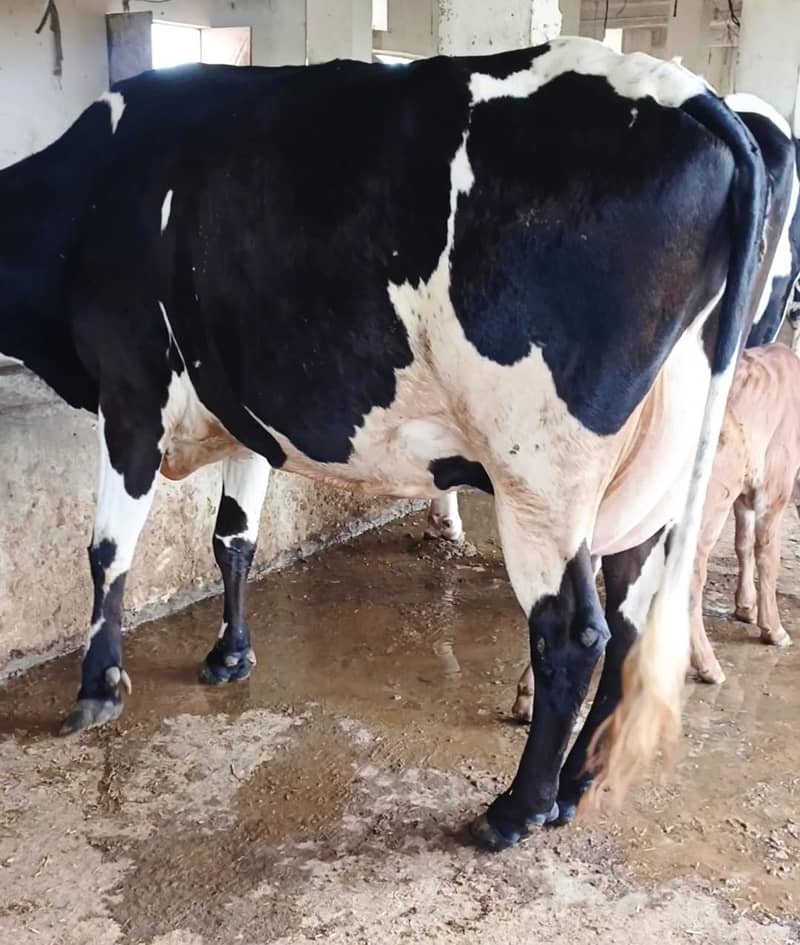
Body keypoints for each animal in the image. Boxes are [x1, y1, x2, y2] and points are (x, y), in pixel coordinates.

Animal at [0, 38, 770, 850]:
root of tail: (682, 88)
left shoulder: (131, 393)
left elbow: (108, 553)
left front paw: (97, 688)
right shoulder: (244, 405)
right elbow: (232, 539)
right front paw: (230, 654)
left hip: (542, 467)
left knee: (572, 631)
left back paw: (515, 809)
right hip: (651, 476)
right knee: (629, 622)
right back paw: (572, 787)